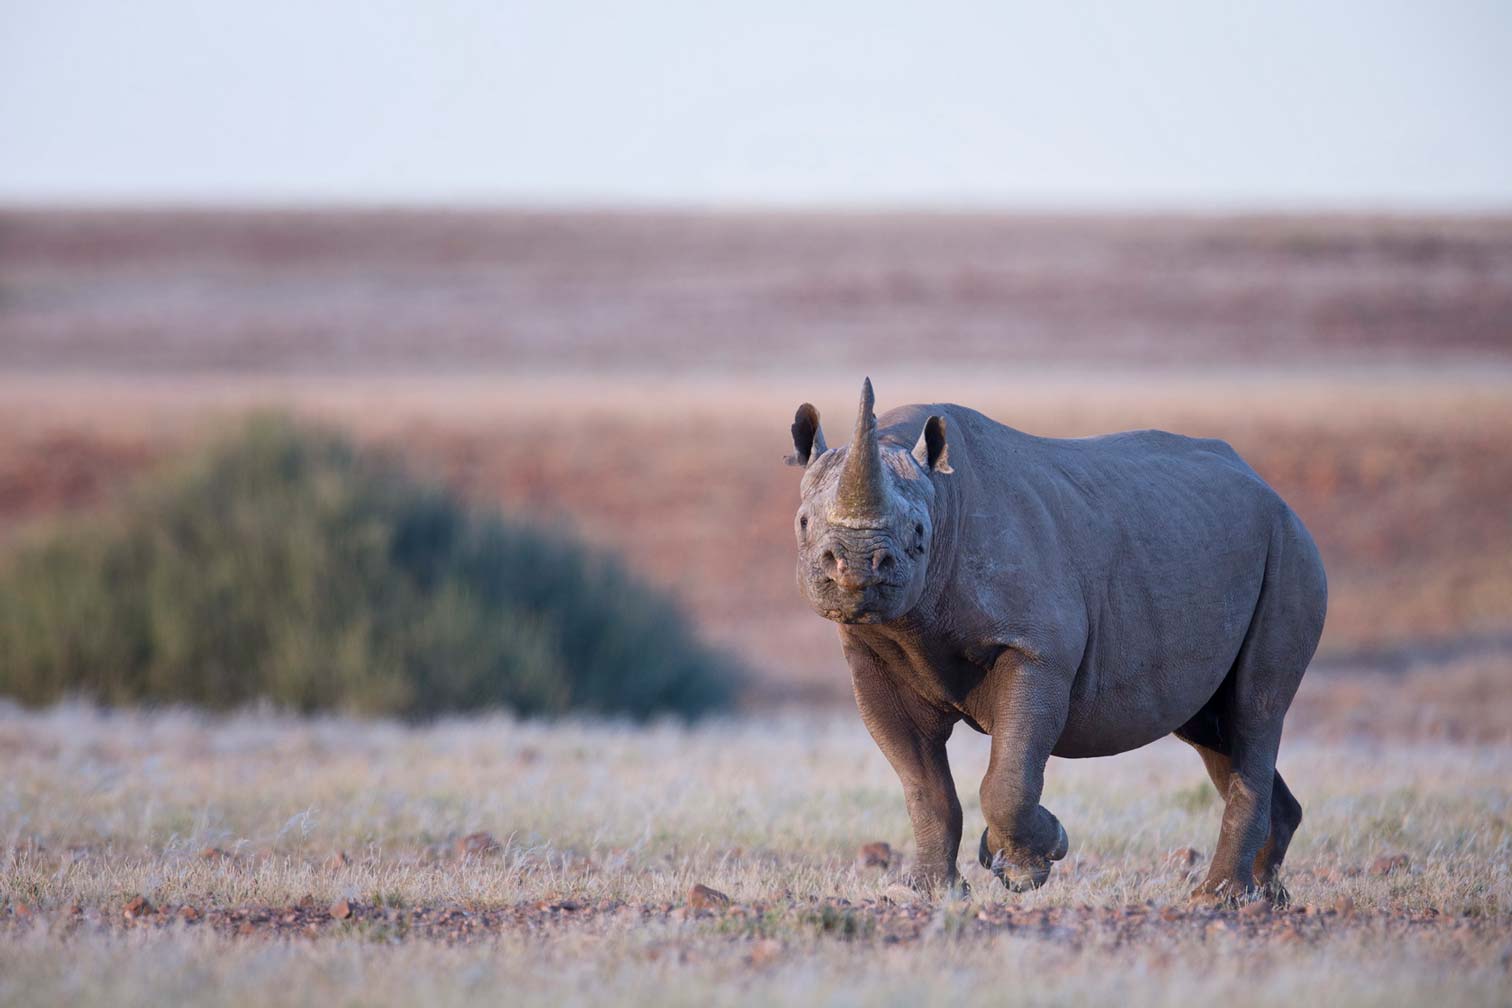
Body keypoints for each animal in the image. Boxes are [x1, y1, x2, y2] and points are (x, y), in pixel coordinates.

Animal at [787, 379, 1327, 903]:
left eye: (919, 532)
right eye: (804, 524)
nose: (858, 564)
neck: (941, 496)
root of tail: (1274, 493)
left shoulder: (1036, 650)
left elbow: (1008, 778)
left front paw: (1028, 864)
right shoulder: (873, 656)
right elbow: (923, 784)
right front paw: (925, 892)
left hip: (1290, 549)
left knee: (1255, 711)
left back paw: (1219, 898)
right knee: (1215, 728)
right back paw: (1266, 894)